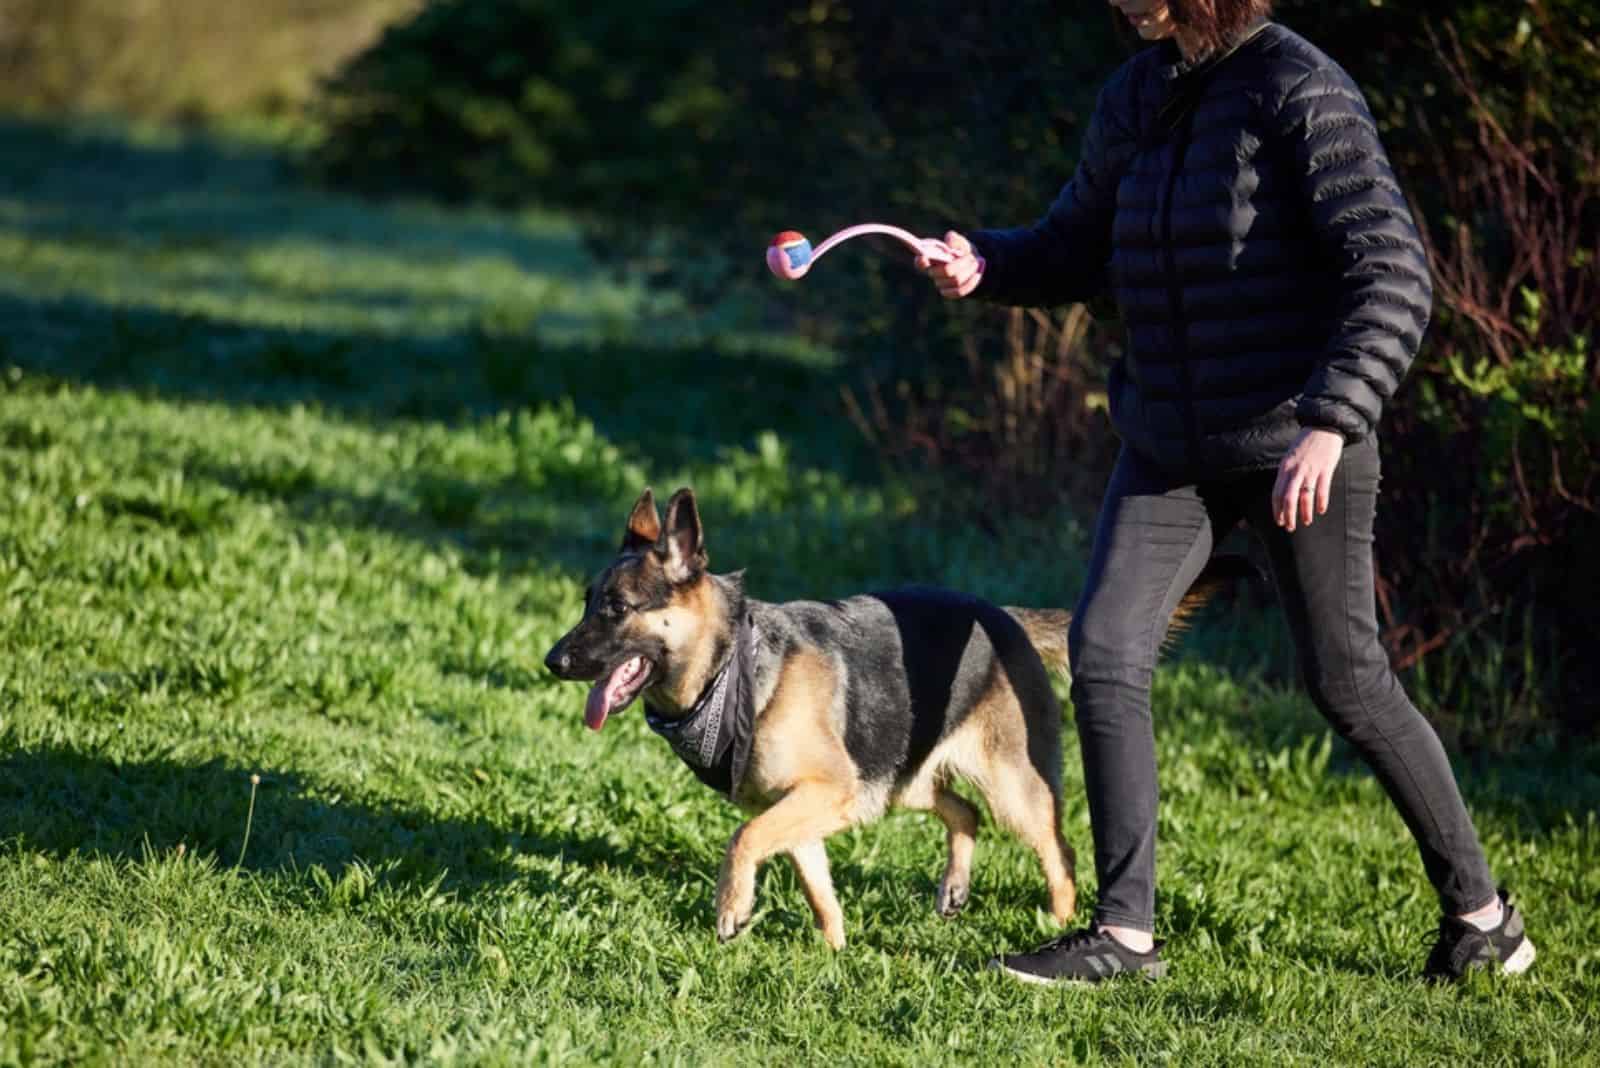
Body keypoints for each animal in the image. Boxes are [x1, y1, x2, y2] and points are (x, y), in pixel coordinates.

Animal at [544, 489, 1228, 946]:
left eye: (617, 608)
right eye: (587, 602)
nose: (553, 661)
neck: (733, 666)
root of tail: (1005, 617)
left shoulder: (825, 794)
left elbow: (743, 841)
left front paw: (733, 907)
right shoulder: (809, 806)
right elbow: (815, 884)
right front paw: (834, 951)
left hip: (1012, 789)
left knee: (1057, 851)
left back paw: (1057, 927)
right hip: (899, 782)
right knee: (964, 812)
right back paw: (955, 887)